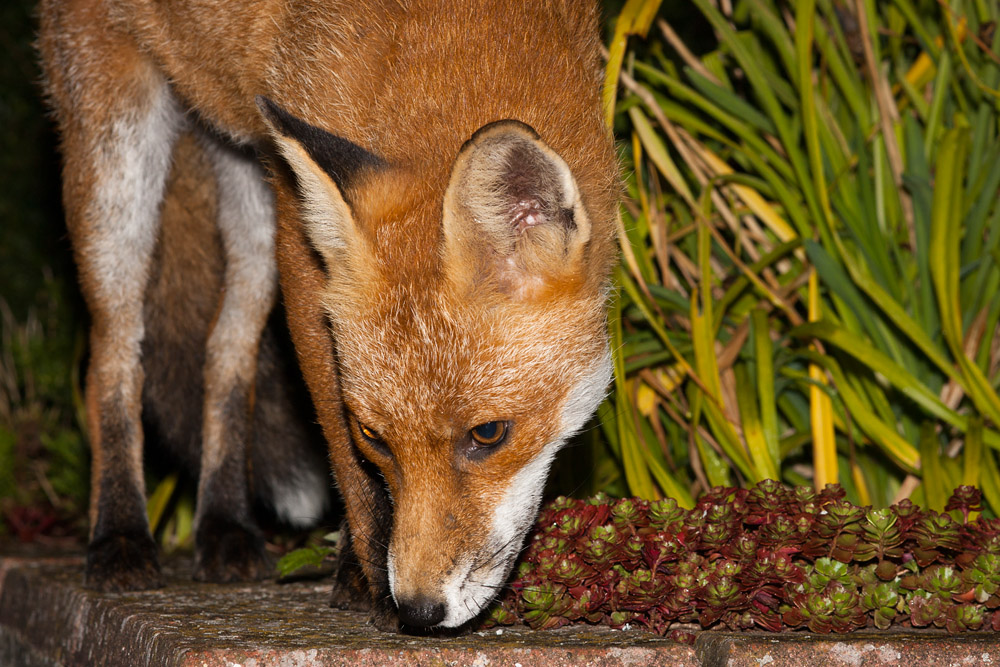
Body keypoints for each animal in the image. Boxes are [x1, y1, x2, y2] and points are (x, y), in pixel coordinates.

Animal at [38, 0, 620, 631]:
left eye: (488, 434)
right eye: (374, 436)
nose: (419, 610)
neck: (463, 40)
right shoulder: (300, 249)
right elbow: (347, 463)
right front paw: (367, 583)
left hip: (246, 188)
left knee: (225, 354)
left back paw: (225, 527)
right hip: (118, 165)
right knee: (114, 357)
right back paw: (118, 537)